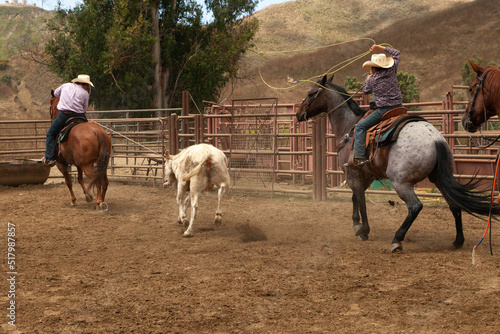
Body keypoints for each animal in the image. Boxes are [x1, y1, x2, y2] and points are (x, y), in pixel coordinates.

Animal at [294, 74, 498, 252]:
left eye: (310, 94)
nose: (298, 113)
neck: (350, 126)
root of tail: (436, 140)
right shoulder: (366, 175)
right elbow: (355, 197)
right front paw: (357, 226)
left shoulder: (353, 173)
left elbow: (360, 200)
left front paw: (363, 230)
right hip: (440, 178)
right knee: (454, 204)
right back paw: (457, 241)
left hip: (401, 182)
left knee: (415, 206)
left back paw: (397, 240)